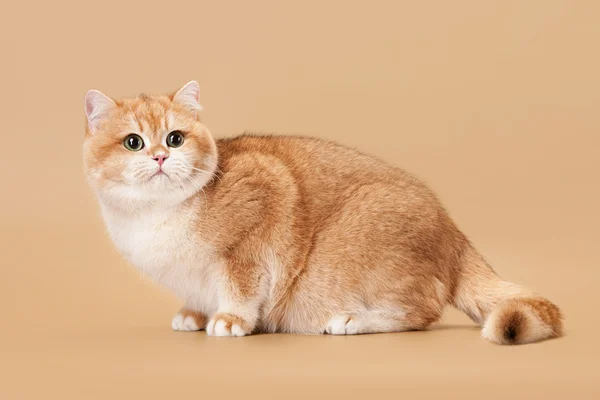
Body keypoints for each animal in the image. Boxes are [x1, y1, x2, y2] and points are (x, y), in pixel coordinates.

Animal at [83, 80, 564, 344]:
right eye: (133, 143)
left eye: (176, 138)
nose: (161, 157)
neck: (153, 218)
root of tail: (454, 231)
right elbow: (199, 293)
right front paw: (195, 314)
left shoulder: (260, 206)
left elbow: (240, 288)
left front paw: (231, 319)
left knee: (423, 311)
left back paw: (354, 320)